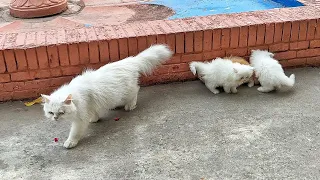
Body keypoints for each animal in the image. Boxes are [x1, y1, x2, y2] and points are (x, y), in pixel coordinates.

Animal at [42, 44, 174, 148]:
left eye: (61, 112)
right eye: (51, 112)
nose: (55, 118)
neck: (76, 95)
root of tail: (130, 61)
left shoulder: (80, 119)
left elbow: (74, 133)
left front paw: (70, 142)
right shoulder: (90, 106)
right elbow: (94, 114)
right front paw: (94, 119)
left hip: (127, 91)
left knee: (136, 91)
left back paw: (130, 106)